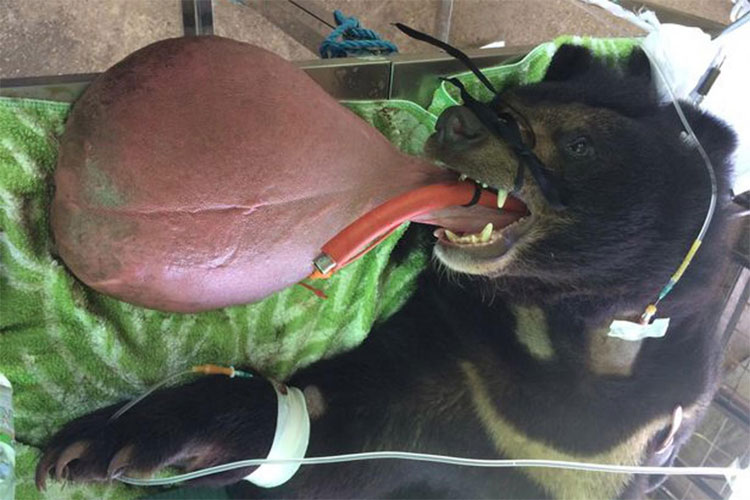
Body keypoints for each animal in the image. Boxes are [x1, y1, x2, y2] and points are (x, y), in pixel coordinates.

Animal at [35, 44, 736, 499]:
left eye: (579, 144)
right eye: (503, 104)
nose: (454, 121)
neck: (545, 326)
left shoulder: (579, 456)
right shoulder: (453, 349)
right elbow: (321, 431)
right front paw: (105, 439)